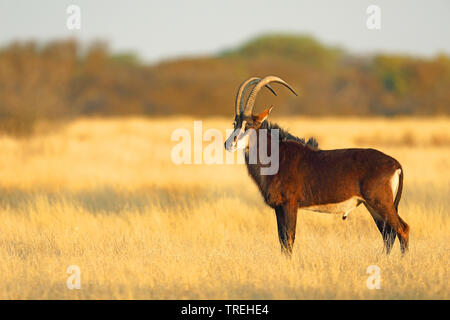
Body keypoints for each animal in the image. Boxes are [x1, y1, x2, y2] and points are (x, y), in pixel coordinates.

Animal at [223, 75, 410, 255]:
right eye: (235, 123)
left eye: (250, 124)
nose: (228, 144)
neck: (277, 155)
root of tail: (395, 164)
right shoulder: (278, 207)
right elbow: (282, 240)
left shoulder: (290, 204)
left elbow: (289, 238)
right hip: (373, 206)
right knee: (388, 234)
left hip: (381, 203)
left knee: (402, 229)